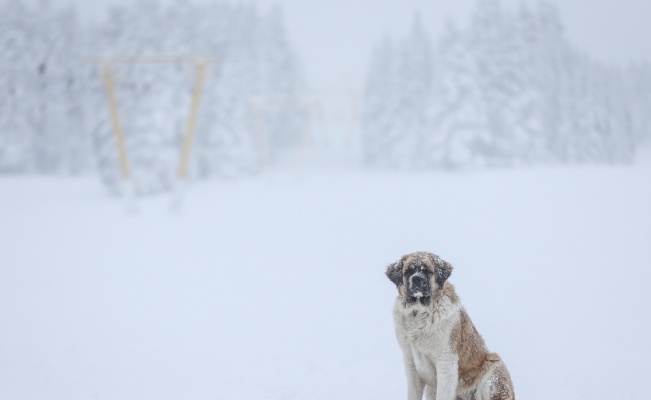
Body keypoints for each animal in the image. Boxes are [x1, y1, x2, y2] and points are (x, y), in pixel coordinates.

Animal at [384, 252, 516, 400]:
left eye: (427, 271)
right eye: (408, 271)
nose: (417, 279)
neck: (419, 313)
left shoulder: (446, 361)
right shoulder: (410, 361)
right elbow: (413, 393)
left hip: (494, 365)